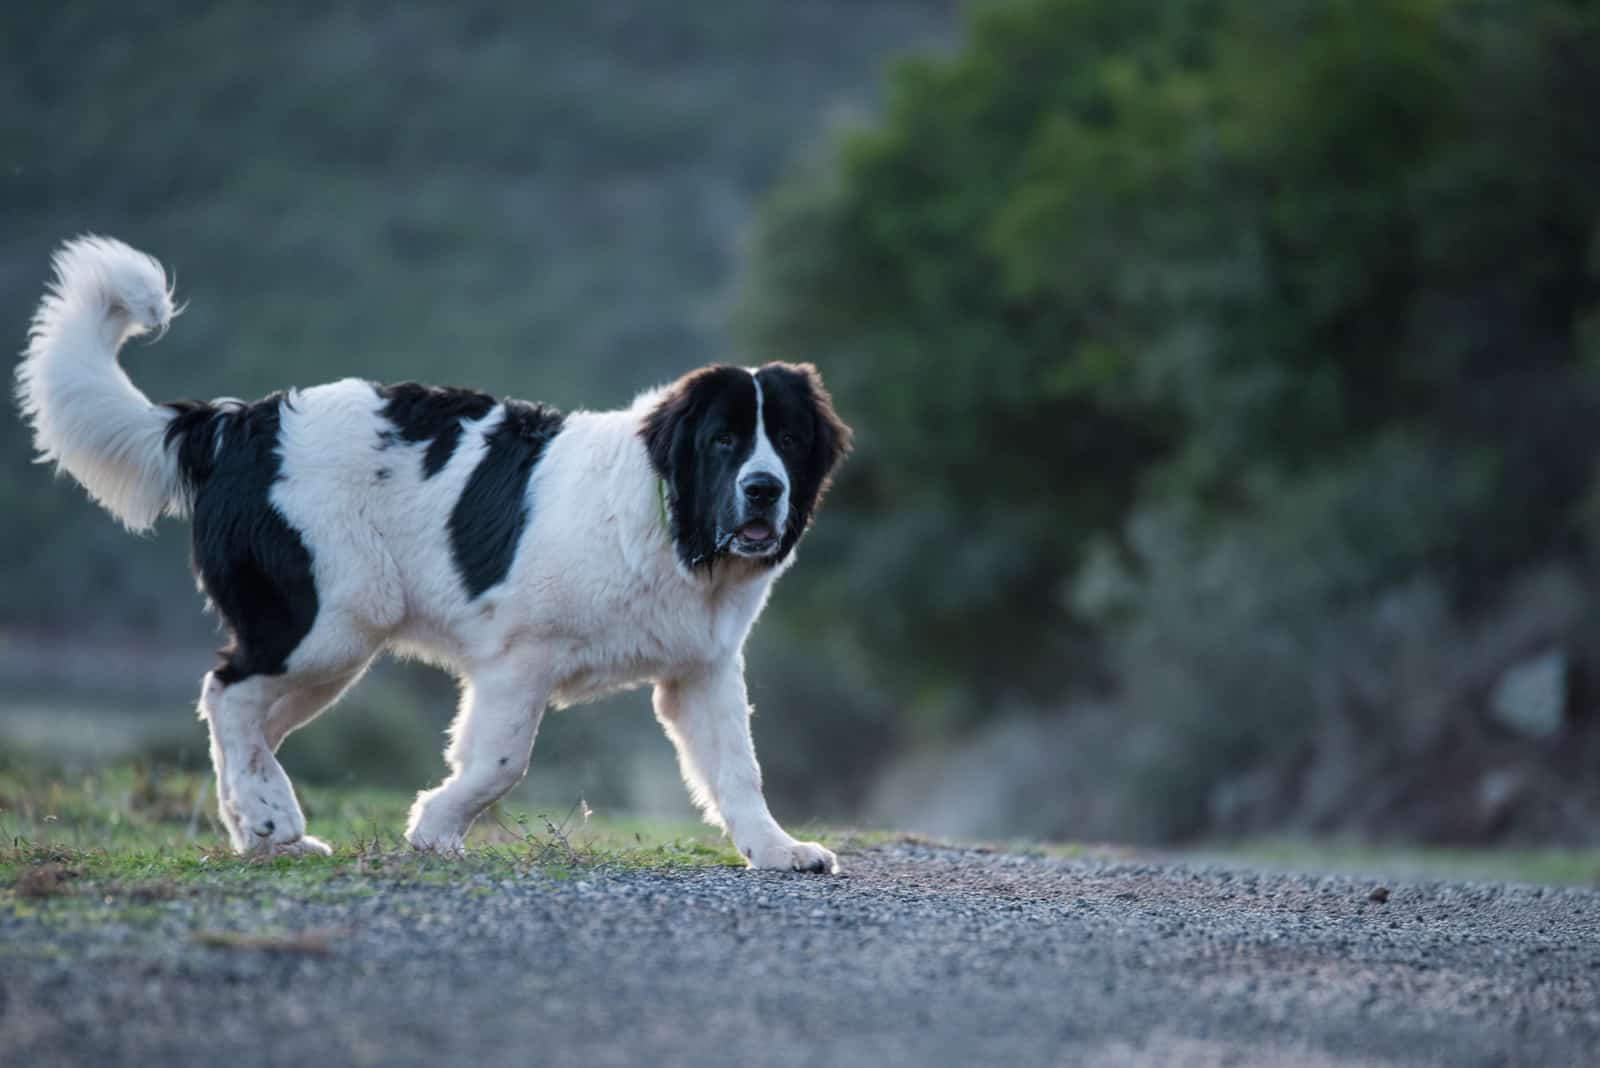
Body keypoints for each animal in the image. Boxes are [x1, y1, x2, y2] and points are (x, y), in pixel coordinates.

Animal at [18, 238, 857, 869]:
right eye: (723, 441)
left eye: (787, 439)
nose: (764, 489)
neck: (667, 521)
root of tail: (236, 423)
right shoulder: (519, 660)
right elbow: (500, 762)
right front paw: (433, 829)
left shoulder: (702, 670)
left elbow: (738, 769)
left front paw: (778, 851)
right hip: (324, 627)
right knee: (227, 692)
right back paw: (271, 818)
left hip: (330, 649)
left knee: (249, 718)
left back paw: (261, 829)